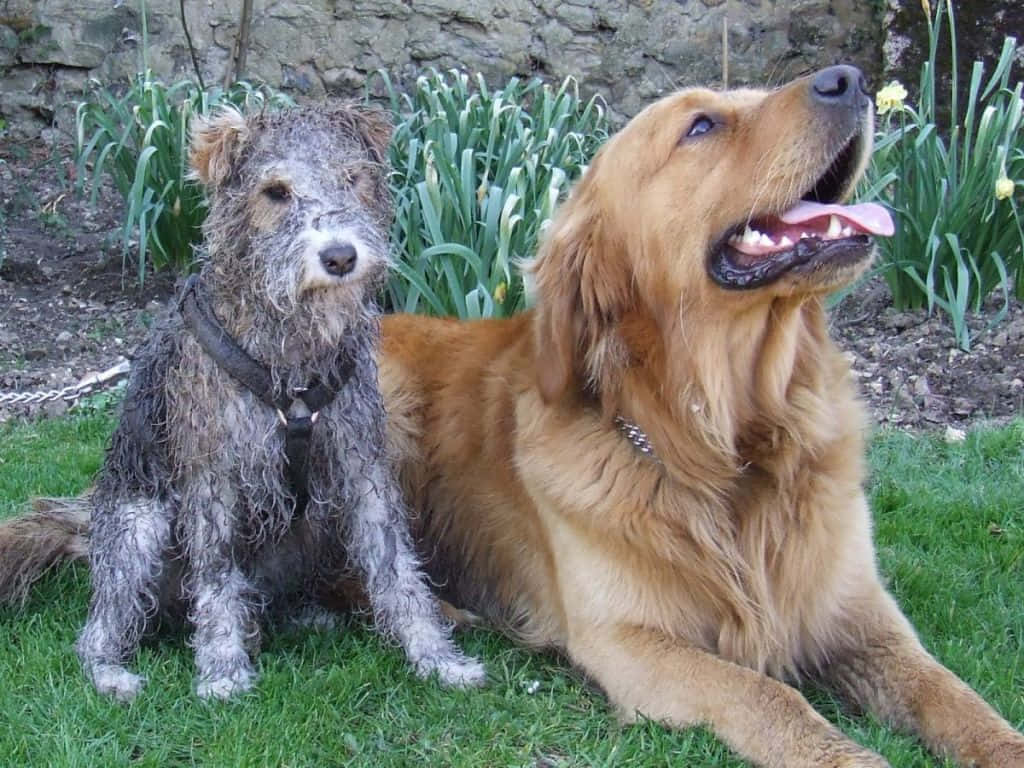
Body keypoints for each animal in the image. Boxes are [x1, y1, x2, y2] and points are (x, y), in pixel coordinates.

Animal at [0, 103, 483, 704]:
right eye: (275, 191)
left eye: (351, 177)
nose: (340, 257)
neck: (290, 358)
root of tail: (86, 529)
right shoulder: (215, 478)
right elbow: (216, 578)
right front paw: (223, 669)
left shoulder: (361, 467)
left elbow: (398, 571)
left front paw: (438, 658)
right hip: (137, 528)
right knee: (101, 627)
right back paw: (112, 672)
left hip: (315, 528)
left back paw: (302, 616)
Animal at [374, 67, 1024, 768]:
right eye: (702, 126)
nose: (848, 78)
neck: (731, 449)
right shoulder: (629, 639)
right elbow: (771, 697)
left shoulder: (861, 615)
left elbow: (954, 695)